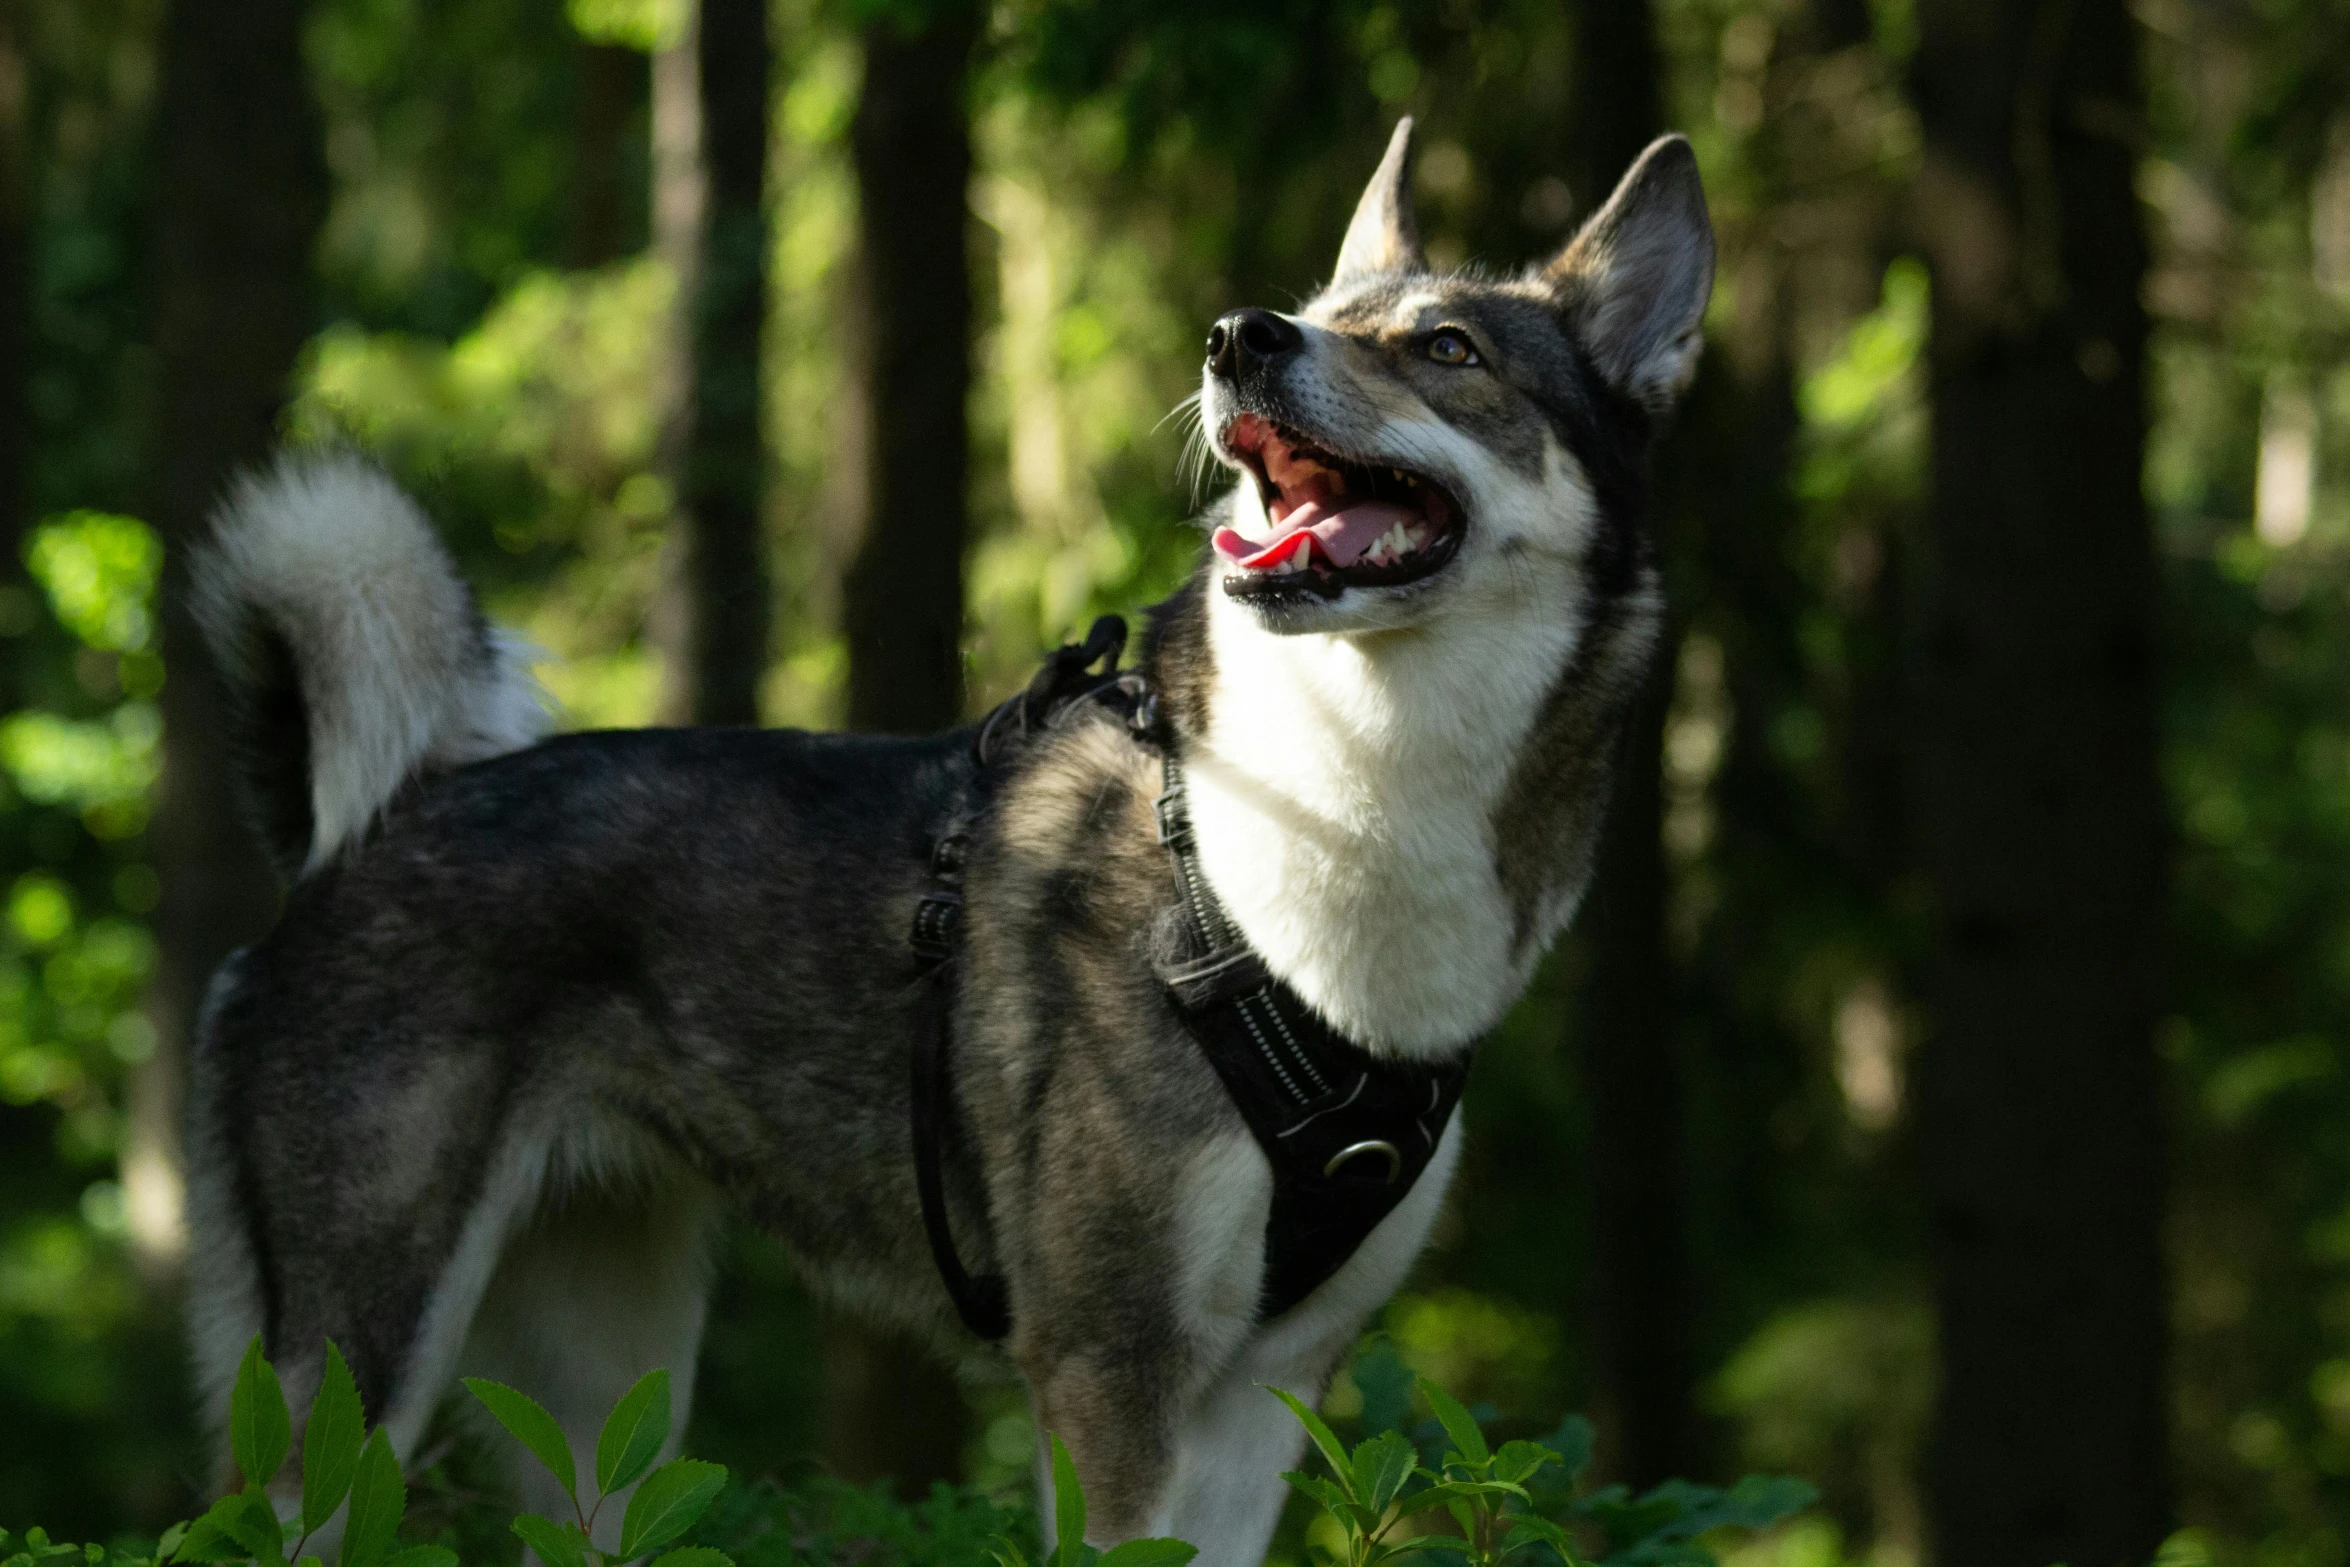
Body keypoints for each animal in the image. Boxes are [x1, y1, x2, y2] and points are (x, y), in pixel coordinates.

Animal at [183, 122, 1710, 1567]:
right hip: (349, 1386)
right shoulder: (1108, 1372)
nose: (1238, 335)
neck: (1308, 824)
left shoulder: (1265, 1395)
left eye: (1447, 348)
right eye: (1319, 310)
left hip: (603, 1407)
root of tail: (356, 837)